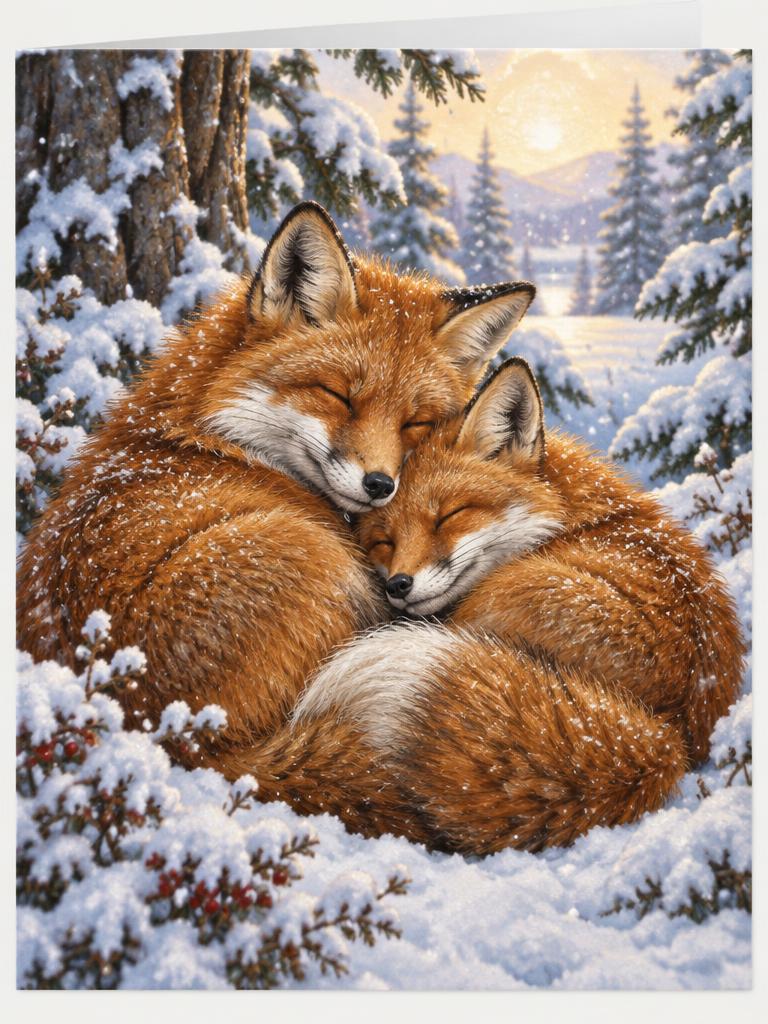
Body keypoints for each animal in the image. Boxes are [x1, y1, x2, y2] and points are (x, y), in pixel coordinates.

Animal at [16, 201, 538, 835]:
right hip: (319, 569)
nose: (380, 485)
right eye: (339, 396)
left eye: (416, 423)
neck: (212, 434)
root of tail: (174, 736)